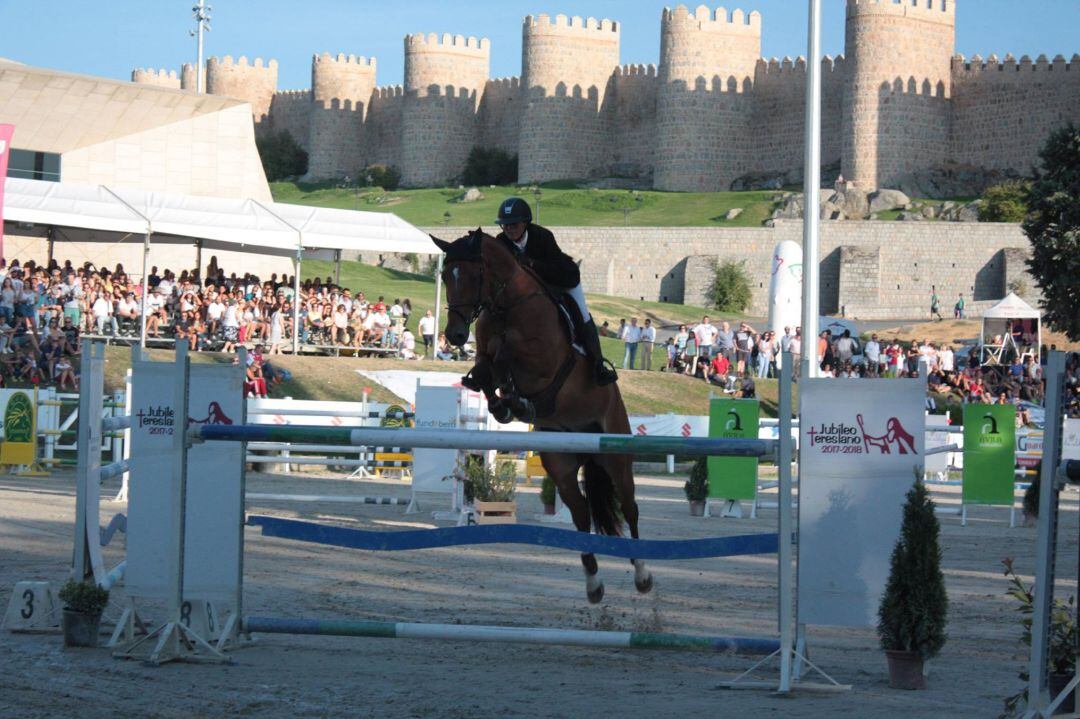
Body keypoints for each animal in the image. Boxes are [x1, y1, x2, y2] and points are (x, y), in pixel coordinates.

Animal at [427, 227, 648, 600]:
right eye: (445, 275)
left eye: (474, 274)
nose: (455, 336)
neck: (507, 305)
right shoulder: (487, 356)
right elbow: (485, 372)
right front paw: (505, 405)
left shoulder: (543, 361)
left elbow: (507, 354)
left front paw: (514, 398)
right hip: (560, 462)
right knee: (580, 513)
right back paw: (593, 585)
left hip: (616, 456)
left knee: (629, 508)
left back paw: (643, 575)